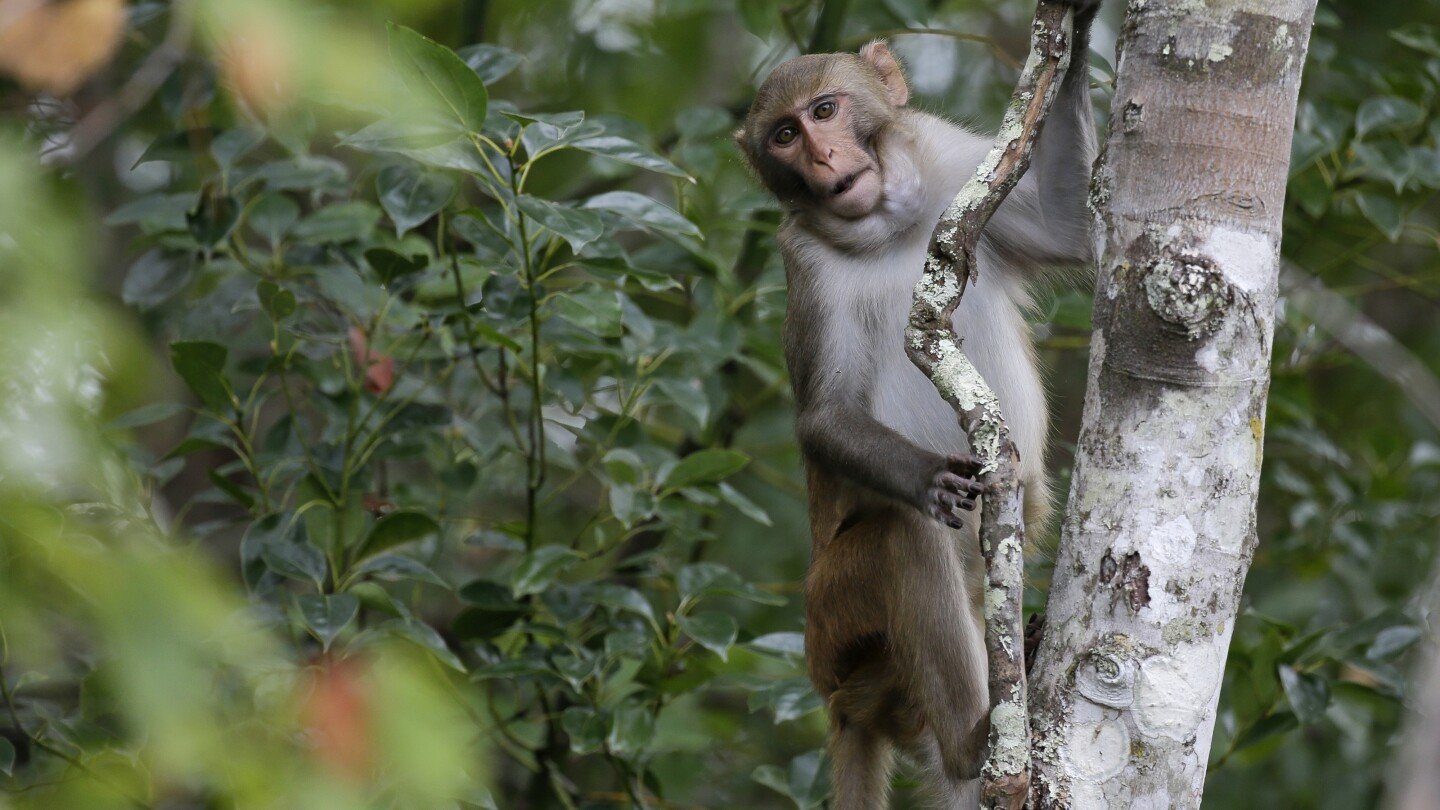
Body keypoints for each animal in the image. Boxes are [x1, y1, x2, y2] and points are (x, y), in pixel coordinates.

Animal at [737, 3, 1094, 801]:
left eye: (825, 111)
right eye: (784, 136)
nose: (823, 158)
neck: (888, 225)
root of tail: (842, 701)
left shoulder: (952, 161)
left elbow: (1067, 225)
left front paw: (1082, 35)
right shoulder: (804, 262)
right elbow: (825, 416)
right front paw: (929, 476)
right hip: (835, 624)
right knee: (903, 536)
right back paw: (971, 743)